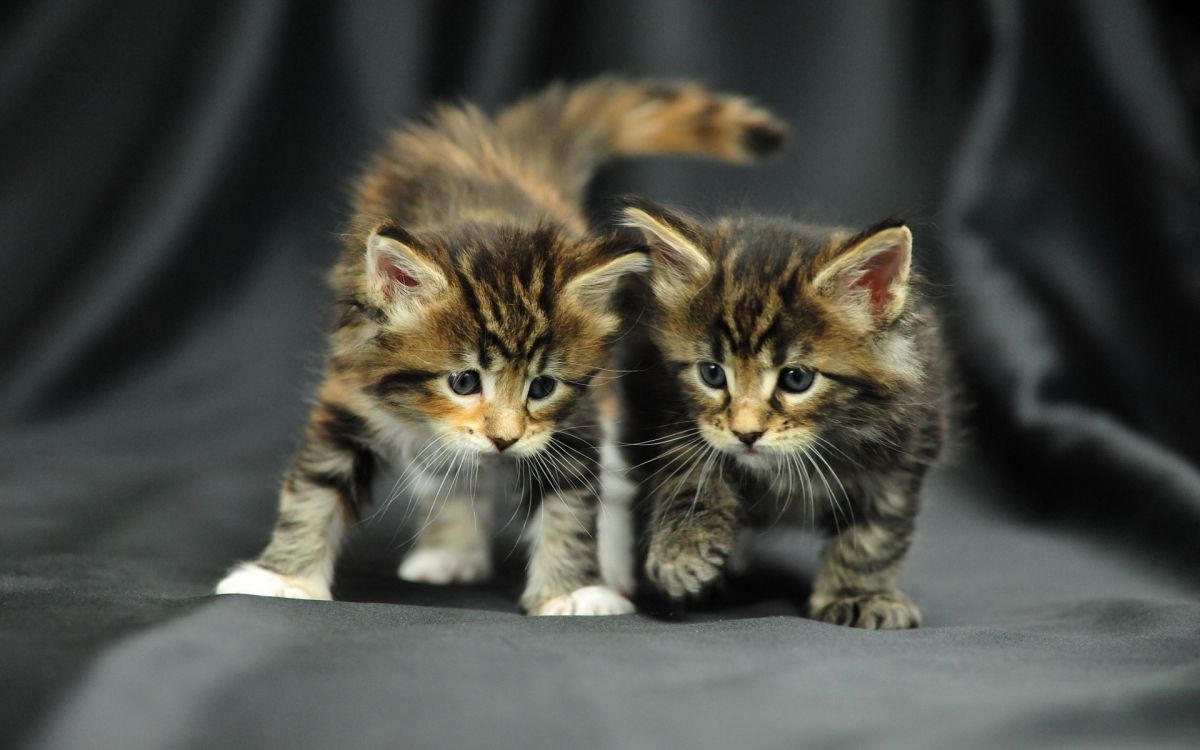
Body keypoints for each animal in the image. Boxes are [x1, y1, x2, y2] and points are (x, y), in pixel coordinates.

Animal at [214, 77, 787, 614]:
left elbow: (571, 503)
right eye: (464, 382)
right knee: (445, 472)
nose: (504, 441)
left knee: (615, 482)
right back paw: (449, 552)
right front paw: (281, 577)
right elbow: (316, 486)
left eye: (542, 387)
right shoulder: (351, 390)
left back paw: (612, 568)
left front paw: (572, 591)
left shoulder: (574, 417)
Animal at [619, 199, 945, 624]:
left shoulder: (904, 452)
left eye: (796, 379)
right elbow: (690, 470)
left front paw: (859, 595)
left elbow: (875, 535)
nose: (746, 433)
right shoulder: (672, 407)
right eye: (712, 373)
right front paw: (683, 547)